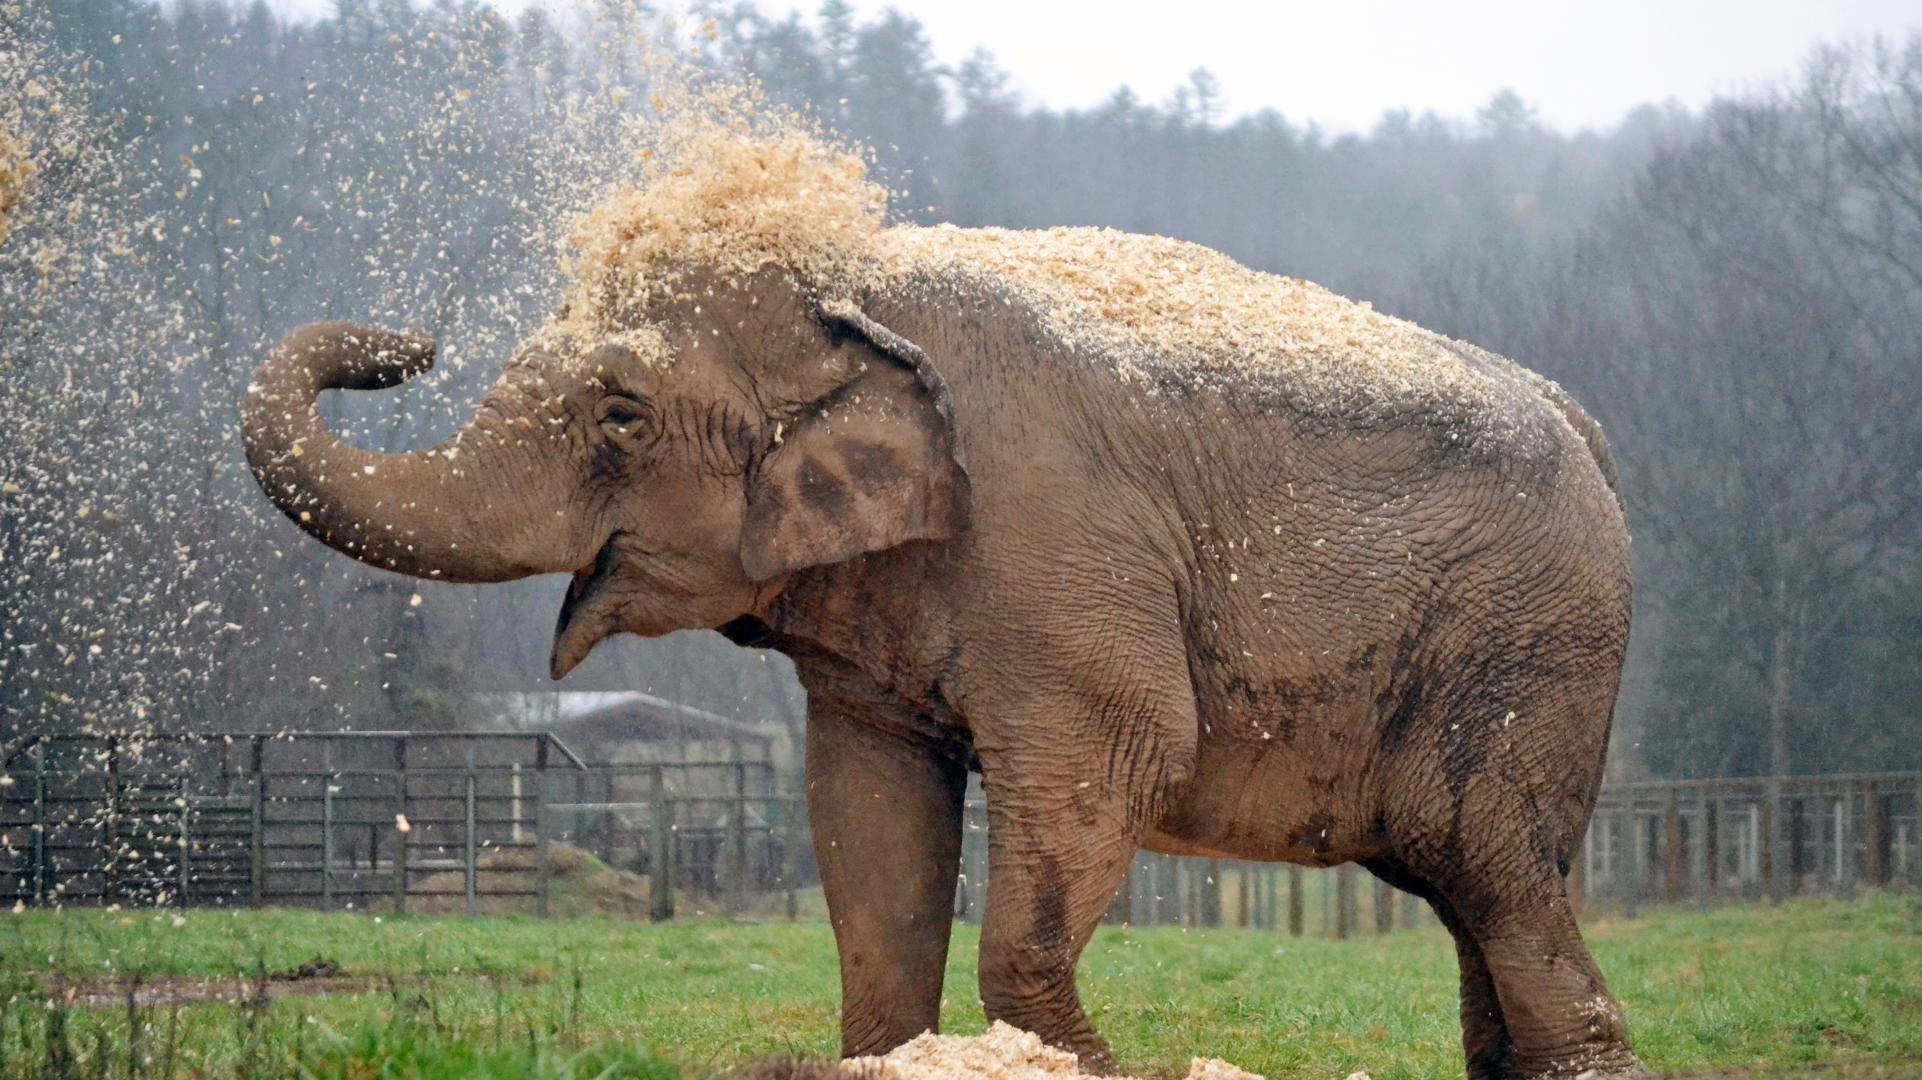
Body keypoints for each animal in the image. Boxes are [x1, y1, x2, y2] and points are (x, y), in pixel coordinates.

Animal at [243, 209, 1641, 1078]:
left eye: (622, 416)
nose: (404, 344)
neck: (850, 283)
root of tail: (1585, 426)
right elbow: (867, 808)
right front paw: (885, 1057)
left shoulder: (1058, 547)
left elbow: (1115, 761)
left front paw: (1082, 1066)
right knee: (1466, 882)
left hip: (1524, 647)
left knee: (1488, 864)